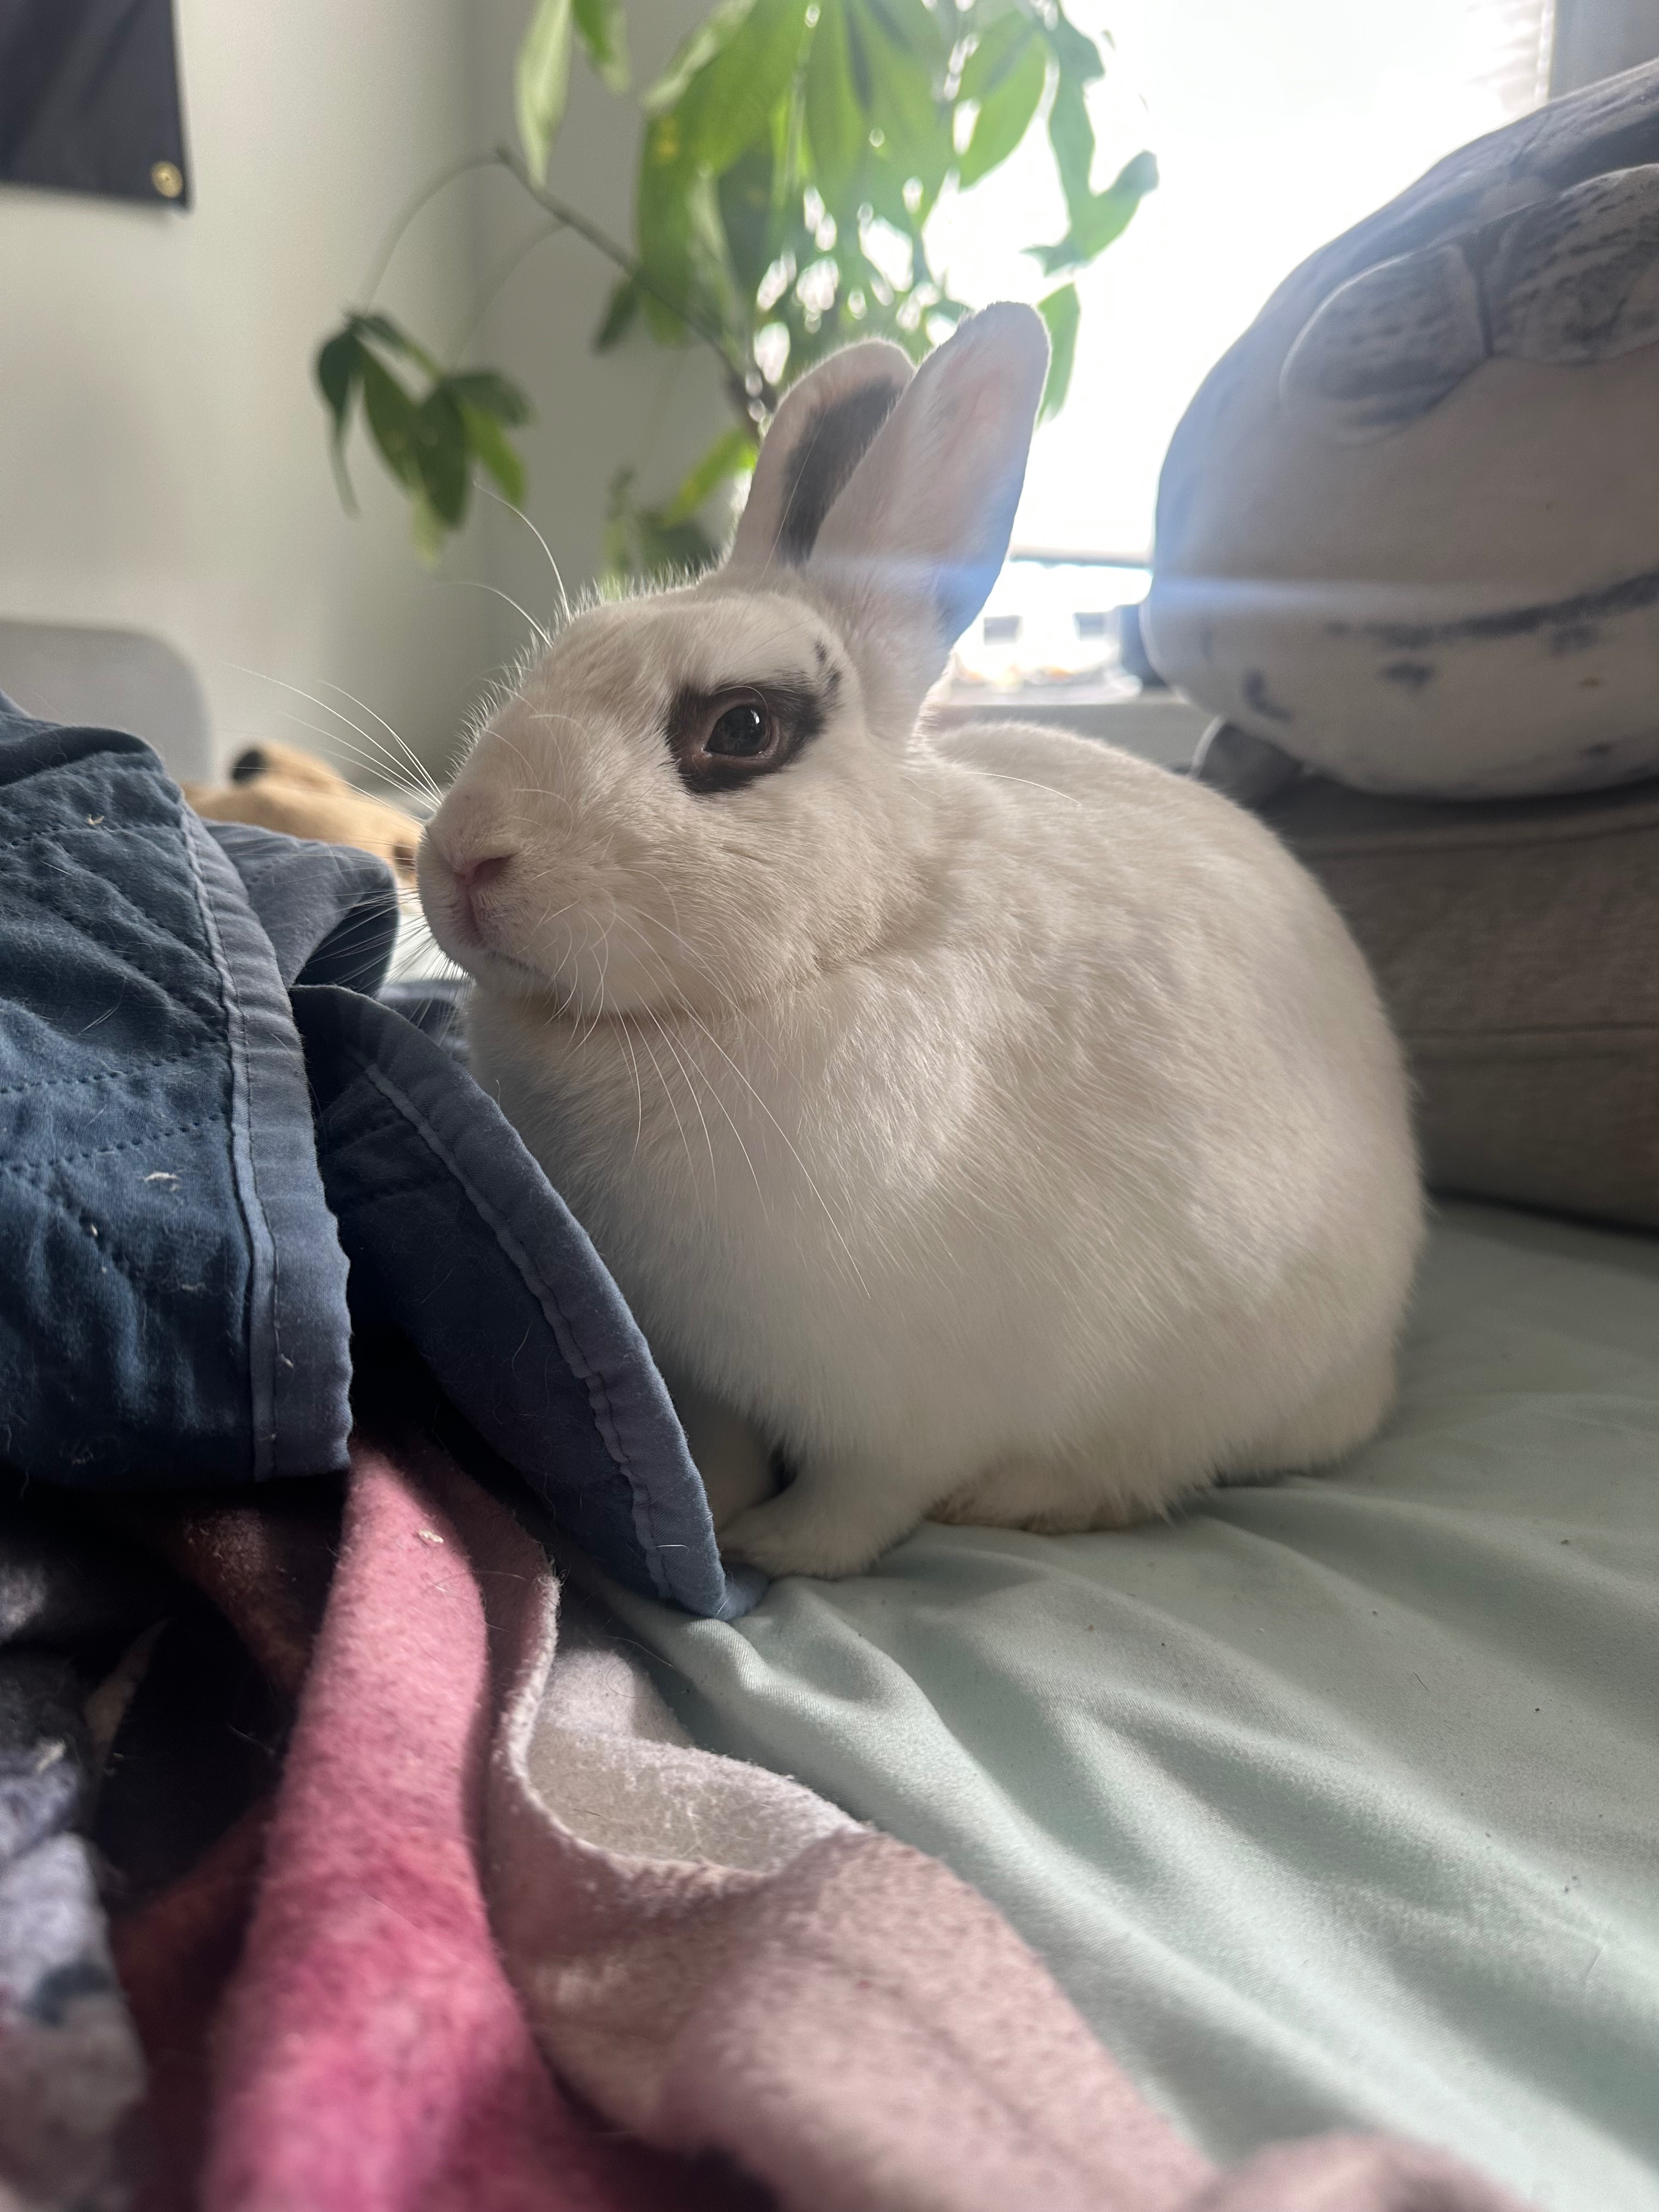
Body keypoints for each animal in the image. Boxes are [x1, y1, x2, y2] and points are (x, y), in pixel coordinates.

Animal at [418, 302, 1424, 1580]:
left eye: (741, 729)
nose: (462, 859)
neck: (844, 945)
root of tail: (1375, 1371)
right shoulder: (706, 1374)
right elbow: (723, 1449)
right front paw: (724, 1512)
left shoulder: (900, 1409)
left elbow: (860, 1502)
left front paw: (773, 1550)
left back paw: (1033, 1499)